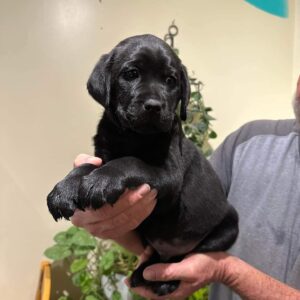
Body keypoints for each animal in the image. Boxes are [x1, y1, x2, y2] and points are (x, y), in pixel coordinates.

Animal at [47, 34, 239, 296]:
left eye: (170, 80)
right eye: (131, 74)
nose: (154, 105)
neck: (133, 136)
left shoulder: (169, 175)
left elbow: (131, 161)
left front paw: (101, 181)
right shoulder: (102, 156)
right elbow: (85, 167)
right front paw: (64, 189)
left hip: (227, 228)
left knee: (184, 254)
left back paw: (165, 280)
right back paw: (143, 271)